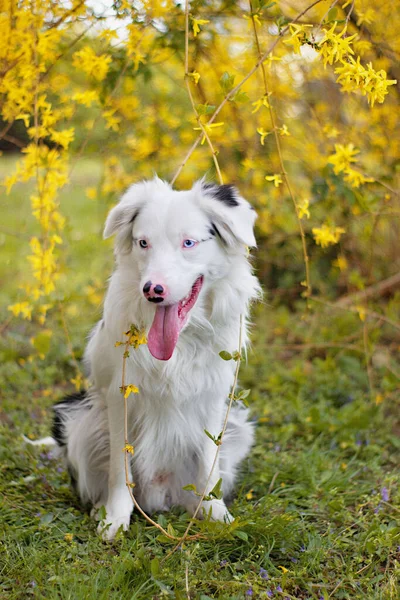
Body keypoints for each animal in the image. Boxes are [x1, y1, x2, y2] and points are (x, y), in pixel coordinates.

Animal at [52, 178, 260, 540]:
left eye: (188, 242)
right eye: (143, 243)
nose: (153, 290)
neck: (180, 342)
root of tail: (161, 494)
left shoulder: (213, 397)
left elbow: (209, 464)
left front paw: (215, 513)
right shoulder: (118, 398)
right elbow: (119, 470)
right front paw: (114, 518)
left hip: (239, 426)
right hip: (77, 420)